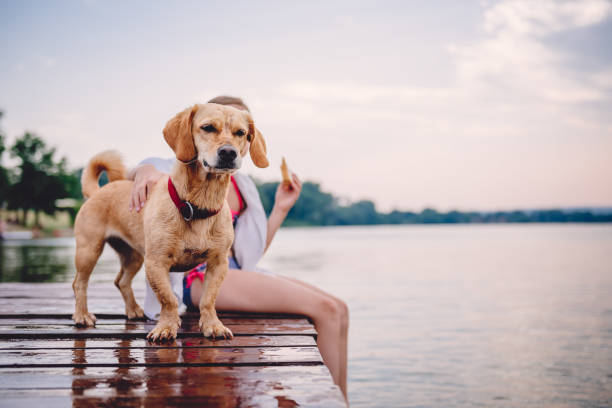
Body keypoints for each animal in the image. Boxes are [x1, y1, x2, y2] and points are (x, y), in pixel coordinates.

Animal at [72, 103, 268, 342]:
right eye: (208, 127)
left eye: (241, 133)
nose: (229, 152)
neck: (197, 205)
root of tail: (97, 191)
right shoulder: (156, 263)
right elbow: (168, 299)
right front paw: (166, 327)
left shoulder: (218, 263)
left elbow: (208, 299)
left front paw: (213, 326)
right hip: (89, 250)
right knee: (79, 283)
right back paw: (82, 315)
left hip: (134, 256)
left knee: (121, 281)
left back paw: (133, 310)